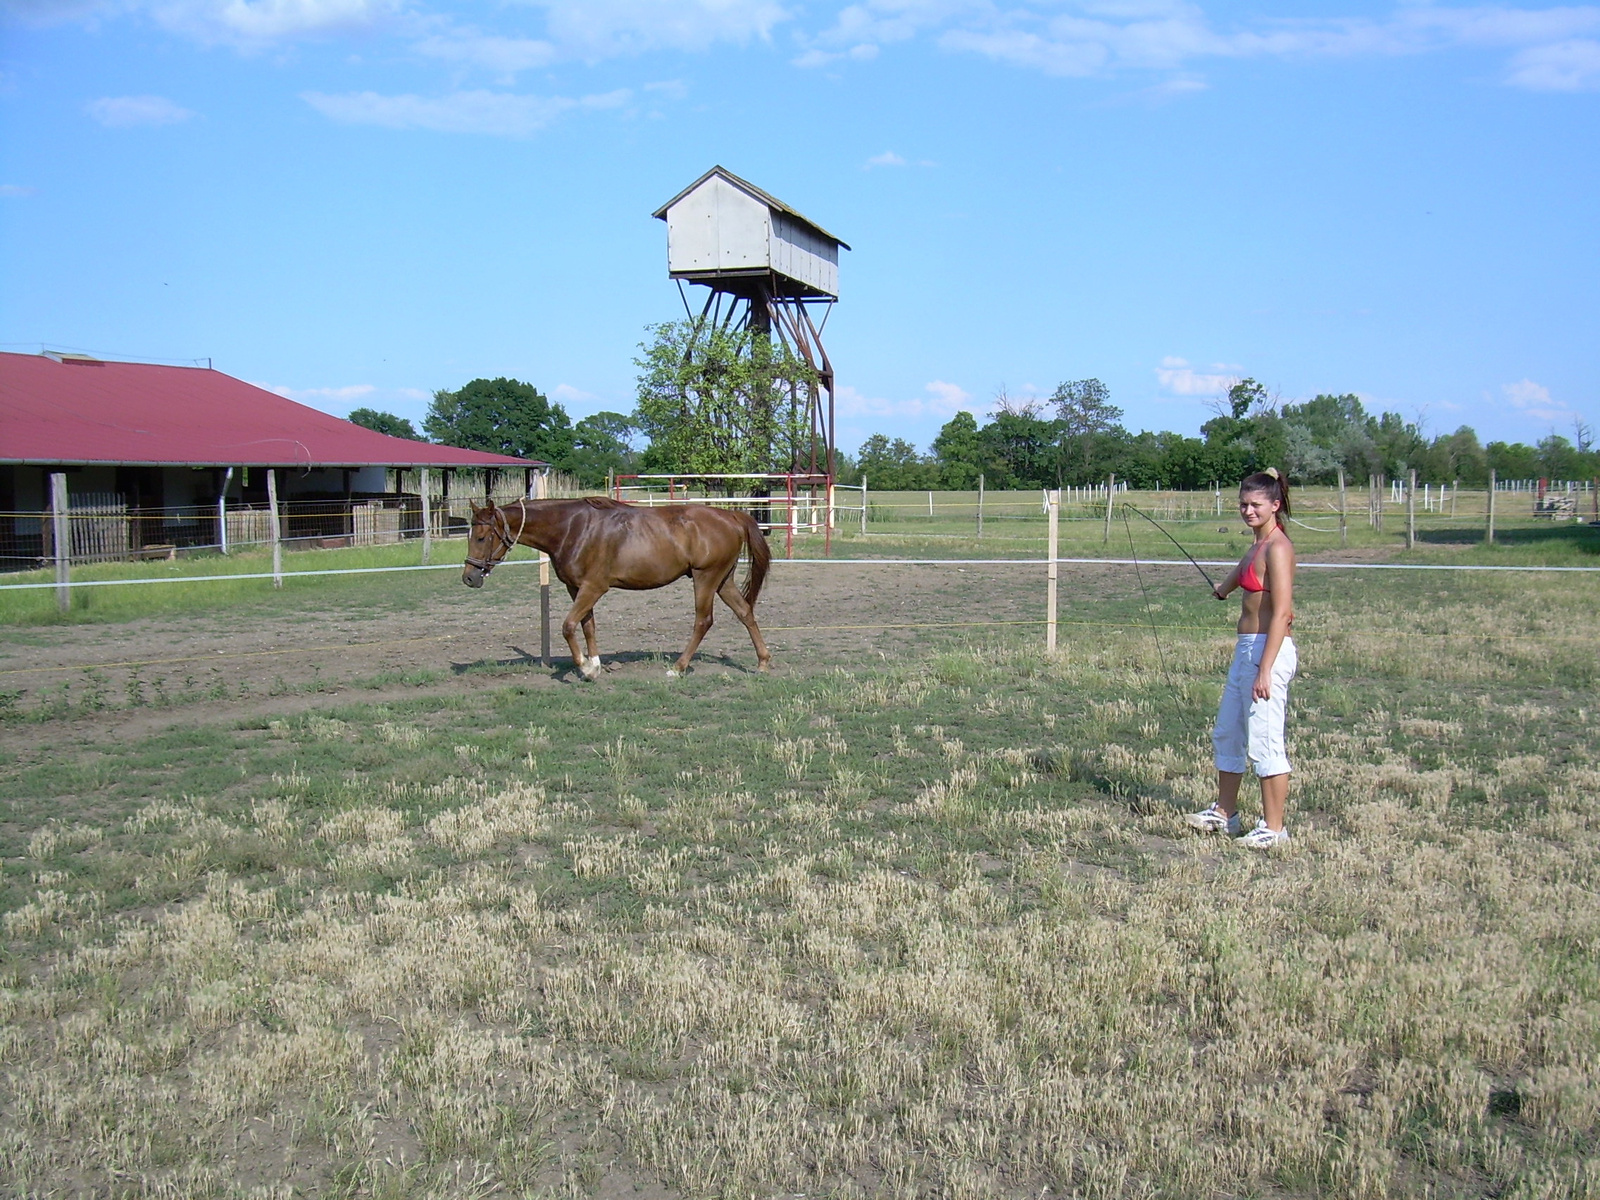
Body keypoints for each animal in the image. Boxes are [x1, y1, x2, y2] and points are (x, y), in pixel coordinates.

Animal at [460, 499, 771, 681]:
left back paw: (678, 667)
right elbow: (587, 626)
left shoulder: (594, 587)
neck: (572, 528)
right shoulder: (577, 588)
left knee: (703, 621)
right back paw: (763, 662)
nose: (469, 578)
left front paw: (585, 668)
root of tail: (731, 516)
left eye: (482, 537)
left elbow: (568, 625)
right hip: (723, 580)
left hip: (705, 578)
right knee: (745, 612)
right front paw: (595, 664)